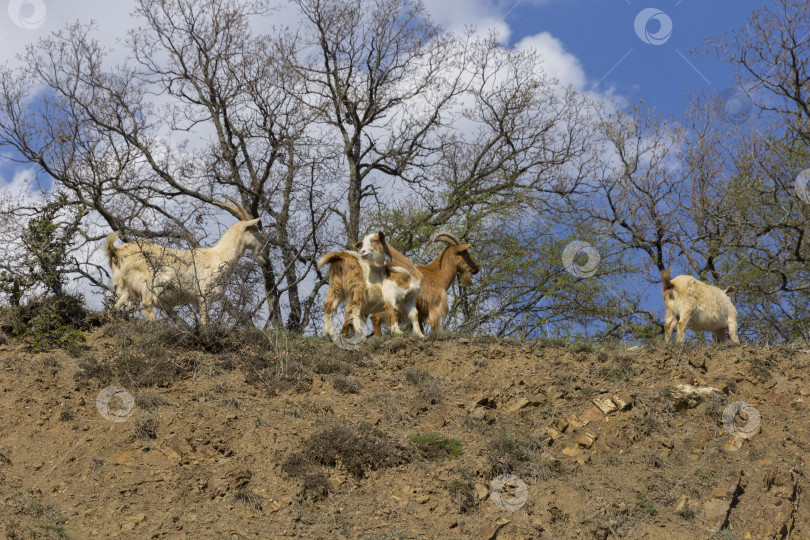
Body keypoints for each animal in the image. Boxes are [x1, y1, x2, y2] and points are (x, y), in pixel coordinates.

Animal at [104, 198, 266, 324]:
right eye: (255, 228)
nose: (266, 242)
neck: (219, 257)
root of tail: (116, 251)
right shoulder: (203, 296)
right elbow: (204, 324)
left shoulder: (196, 300)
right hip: (147, 283)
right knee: (147, 304)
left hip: (125, 287)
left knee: (114, 308)